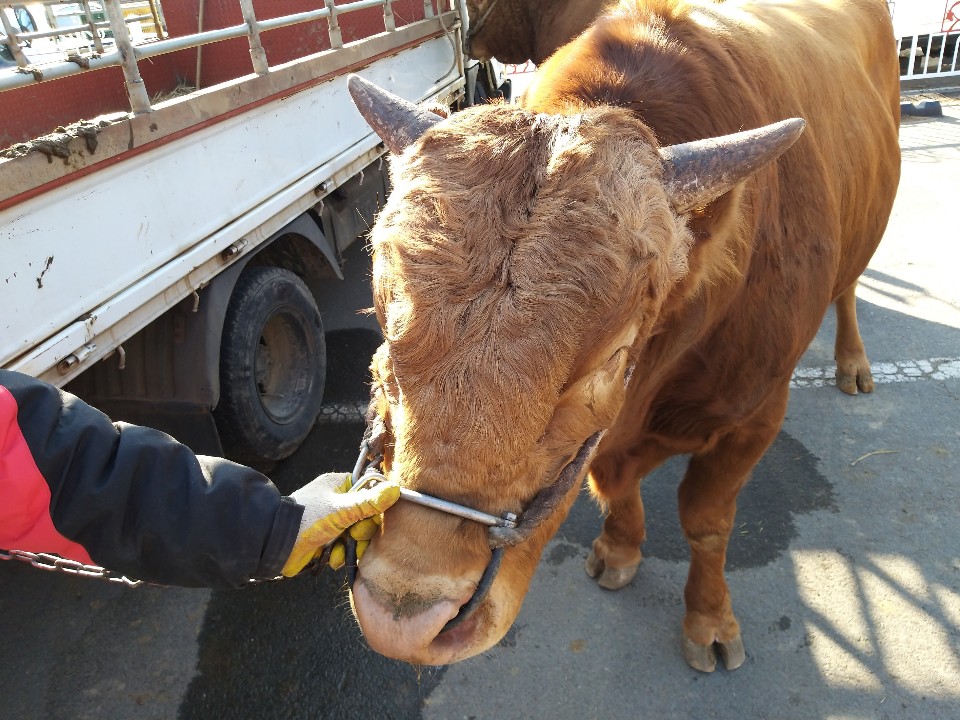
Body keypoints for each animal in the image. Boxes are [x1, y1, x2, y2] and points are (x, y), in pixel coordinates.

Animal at [346, 0, 900, 668]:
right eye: (384, 326)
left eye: (612, 356)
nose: (404, 614)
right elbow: (613, 485)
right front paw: (619, 549)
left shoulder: (754, 417)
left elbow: (707, 522)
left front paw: (709, 619)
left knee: (851, 289)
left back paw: (853, 363)